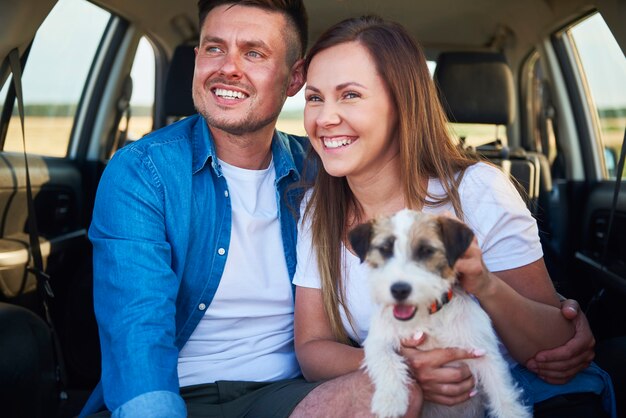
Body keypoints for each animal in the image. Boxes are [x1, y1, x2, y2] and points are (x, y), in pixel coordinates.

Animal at [346, 209, 528, 418]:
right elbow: (386, 361)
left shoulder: (486, 355)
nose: (399, 289)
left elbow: (505, 399)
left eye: (426, 251)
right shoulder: (377, 340)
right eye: (385, 249)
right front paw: (389, 399)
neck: (427, 316)